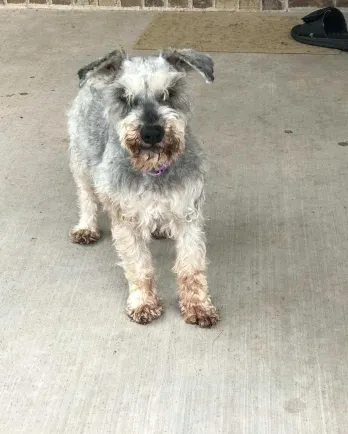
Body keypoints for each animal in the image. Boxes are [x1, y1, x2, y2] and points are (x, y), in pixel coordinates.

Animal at [68, 49, 219, 328]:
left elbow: (191, 266)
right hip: (81, 163)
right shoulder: (126, 222)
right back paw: (86, 227)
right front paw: (143, 303)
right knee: (86, 197)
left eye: (169, 93)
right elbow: (139, 267)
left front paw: (198, 306)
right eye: (124, 97)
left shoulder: (188, 216)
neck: (153, 169)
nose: (151, 133)